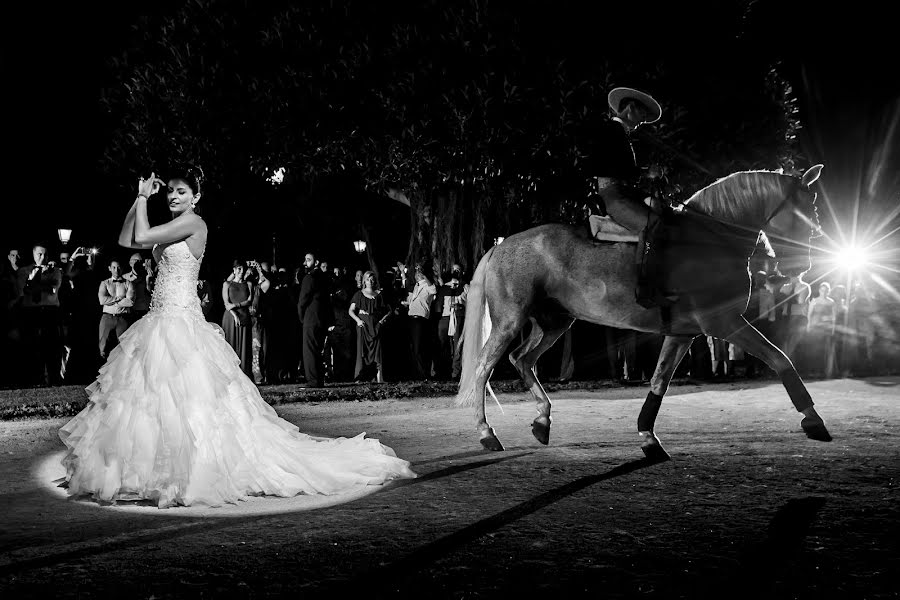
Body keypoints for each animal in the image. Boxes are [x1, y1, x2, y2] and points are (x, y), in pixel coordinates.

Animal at [458, 162, 828, 458]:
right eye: (805, 212)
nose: (803, 267)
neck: (711, 239)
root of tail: (501, 244)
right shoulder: (724, 323)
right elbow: (780, 358)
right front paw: (813, 419)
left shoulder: (683, 333)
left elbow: (659, 382)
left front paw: (648, 436)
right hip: (510, 321)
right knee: (484, 367)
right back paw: (486, 433)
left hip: (554, 323)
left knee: (522, 359)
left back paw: (542, 420)